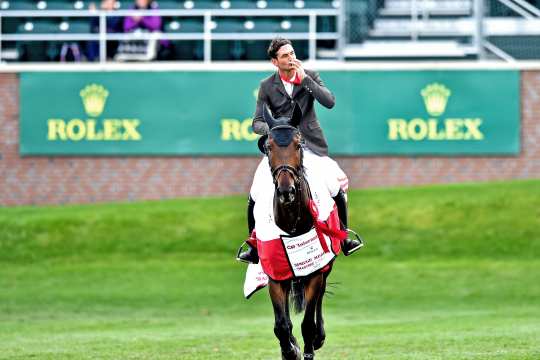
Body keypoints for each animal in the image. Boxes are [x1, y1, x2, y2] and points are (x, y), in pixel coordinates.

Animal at [260, 105, 332, 358]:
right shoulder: (275, 273)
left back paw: (319, 337)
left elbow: (308, 323)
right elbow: (281, 324)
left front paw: (309, 346)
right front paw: (290, 349)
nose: (286, 191)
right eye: (269, 147)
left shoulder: (315, 270)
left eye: (299, 144)